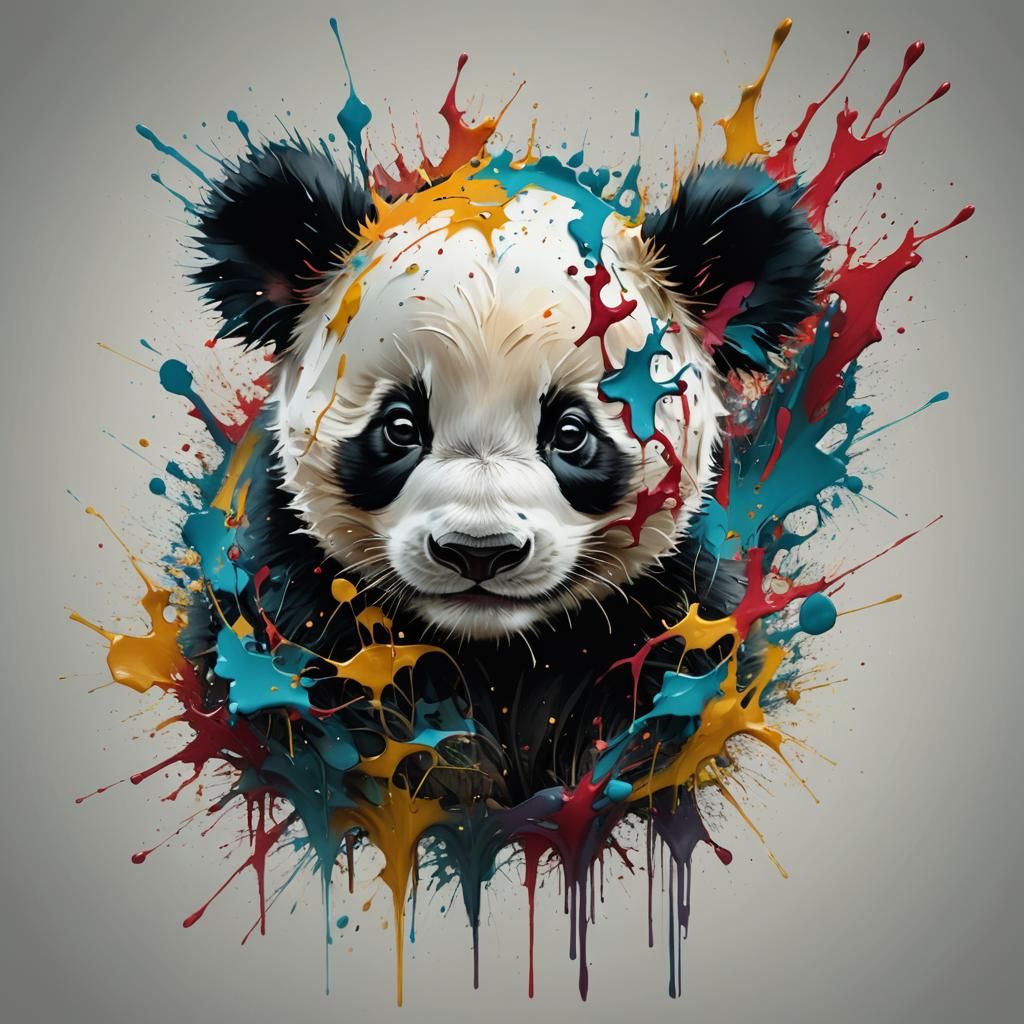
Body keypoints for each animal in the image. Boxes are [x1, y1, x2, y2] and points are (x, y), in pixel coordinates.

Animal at [184, 141, 825, 806]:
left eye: (570, 432)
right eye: (400, 426)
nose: (478, 552)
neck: (497, 653)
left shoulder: (677, 617)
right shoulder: (292, 606)